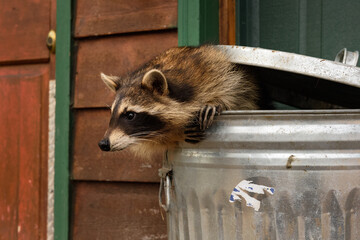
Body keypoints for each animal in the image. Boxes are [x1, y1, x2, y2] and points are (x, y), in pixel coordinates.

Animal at [98, 45, 264, 157]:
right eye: (112, 113)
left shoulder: (219, 74)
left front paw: (216, 102)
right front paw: (176, 134)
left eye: (130, 115)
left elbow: (238, 96)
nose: (103, 144)